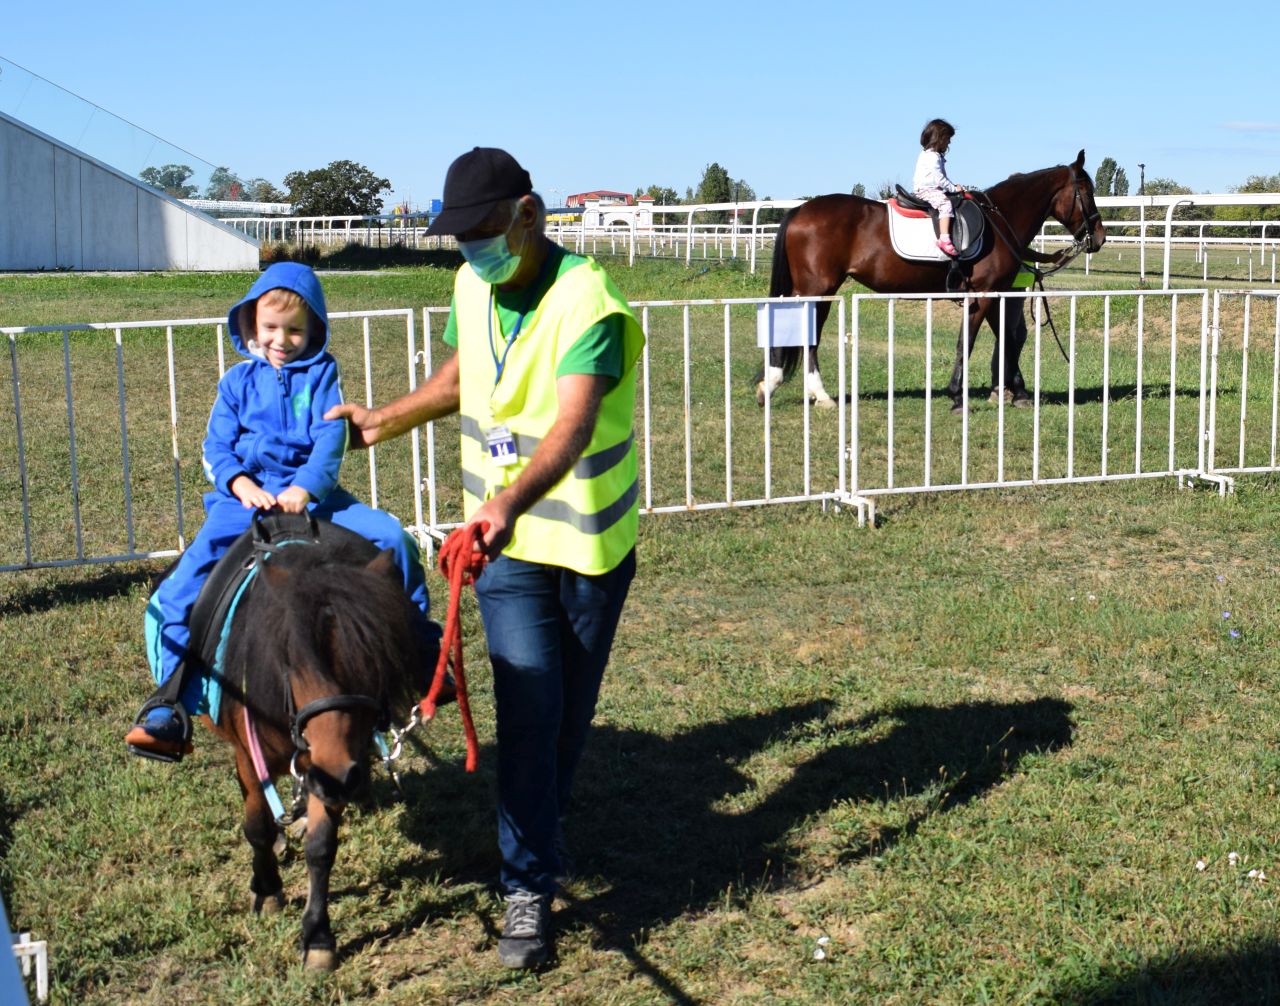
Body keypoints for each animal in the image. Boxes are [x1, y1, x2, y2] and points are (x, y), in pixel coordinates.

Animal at [200, 522, 429, 971]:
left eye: (374, 660)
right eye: (293, 661)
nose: (340, 779)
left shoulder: (331, 764)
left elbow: (321, 848)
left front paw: (319, 937)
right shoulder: (252, 756)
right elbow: (255, 826)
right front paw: (267, 889)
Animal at [757, 150, 1106, 411]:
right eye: (1087, 192)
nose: (1099, 237)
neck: (999, 220)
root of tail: (800, 210)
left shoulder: (996, 293)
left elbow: (1006, 338)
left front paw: (1017, 392)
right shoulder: (981, 295)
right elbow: (966, 343)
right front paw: (957, 396)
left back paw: (783, 388)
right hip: (818, 290)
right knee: (805, 335)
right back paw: (810, 392)